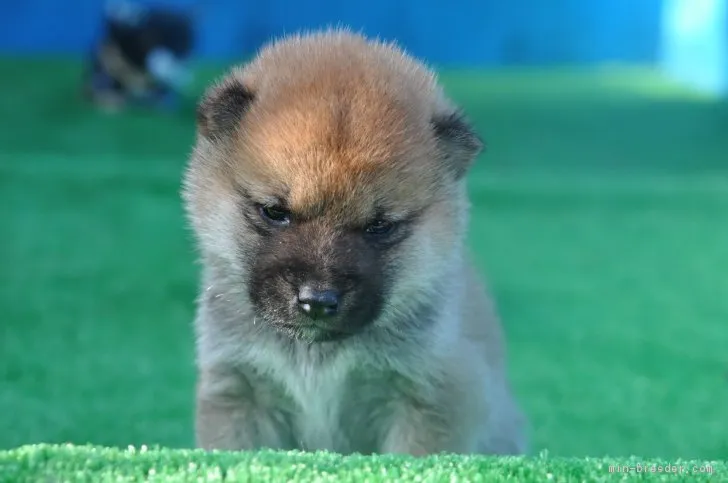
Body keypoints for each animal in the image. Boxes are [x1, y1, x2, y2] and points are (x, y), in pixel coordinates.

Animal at [181, 28, 524, 456]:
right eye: (275, 211)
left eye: (379, 226)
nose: (317, 300)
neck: (316, 355)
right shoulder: (238, 391)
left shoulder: (428, 398)